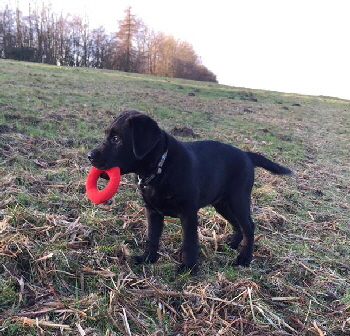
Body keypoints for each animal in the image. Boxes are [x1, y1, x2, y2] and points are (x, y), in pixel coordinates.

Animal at [88, 110, 292, 272]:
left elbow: (189, 241)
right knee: (237, 224)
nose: (89, 155)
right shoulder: (152, 211)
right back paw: (233, 244)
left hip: (238, 199)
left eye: (116, 139)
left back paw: (245, 258)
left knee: (249, 226)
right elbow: (152, 236)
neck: (161, 166)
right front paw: (147, 258)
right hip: (222, 204)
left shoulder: (188, 212)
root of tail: (247, 155)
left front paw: (189, 268)